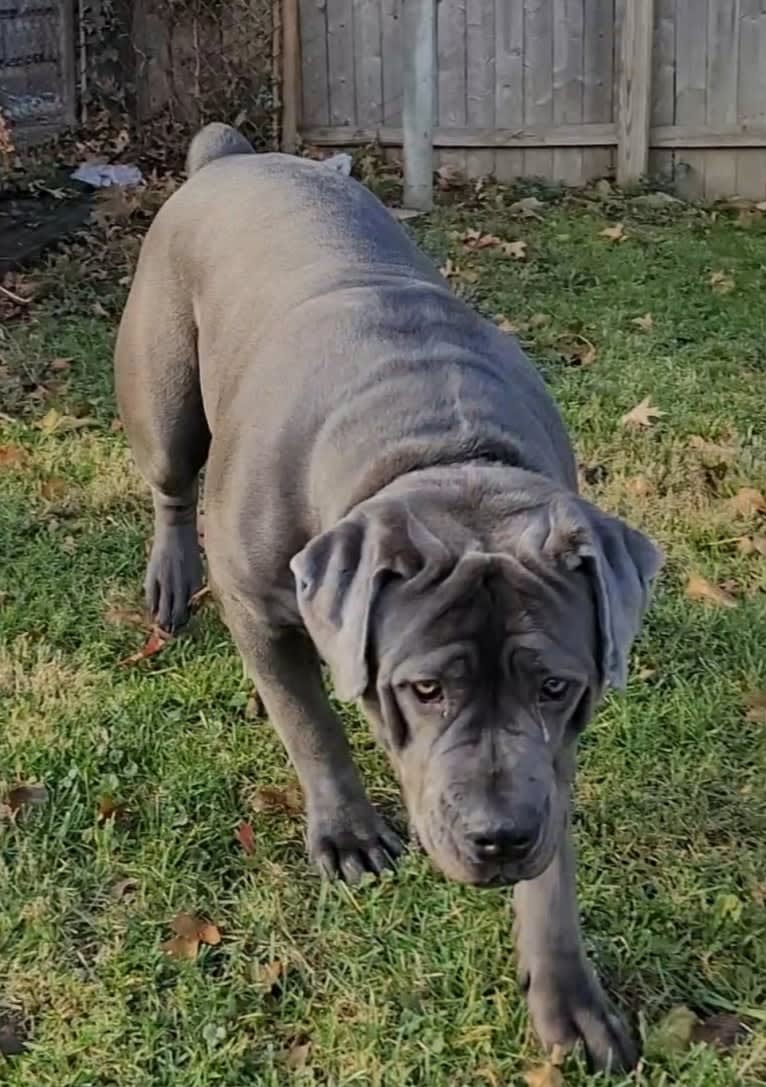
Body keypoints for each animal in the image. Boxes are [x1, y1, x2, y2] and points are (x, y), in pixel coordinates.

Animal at [116, 125, 660, 1069]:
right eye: (424, 688)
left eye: (556, 685)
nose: (499, 834)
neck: (436, 447)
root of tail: (231, 157)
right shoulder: (258, 603)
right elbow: (311, 724)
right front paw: (347, 831)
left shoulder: (550, 751)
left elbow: (552, 857)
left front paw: (569, 993)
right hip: (163, 399)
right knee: (170, 486)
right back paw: (172, 577)